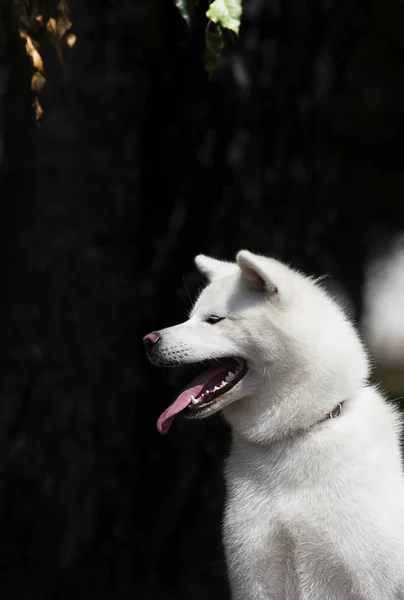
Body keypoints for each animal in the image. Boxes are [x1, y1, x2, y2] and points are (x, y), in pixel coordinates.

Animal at [144, 252, 404, 600]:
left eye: (213, 320)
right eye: (190, 318)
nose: (148, 340)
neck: (293, 434)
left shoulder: (369, 580)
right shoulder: (255, 575)